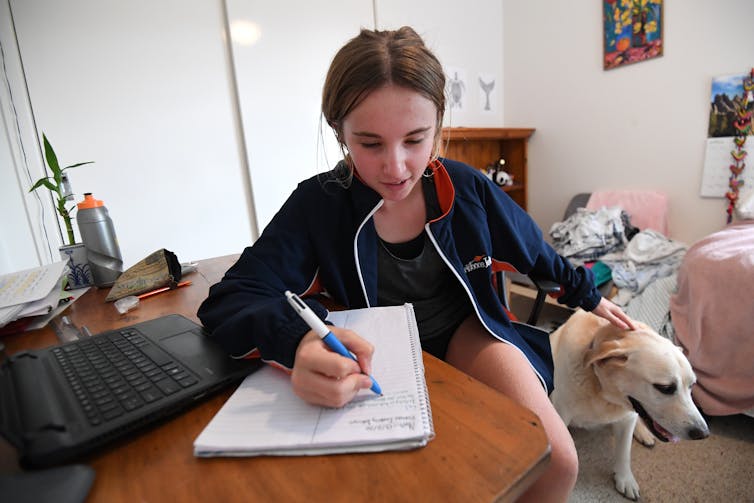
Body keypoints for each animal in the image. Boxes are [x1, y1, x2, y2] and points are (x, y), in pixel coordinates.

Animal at [548, 312, 704, 500]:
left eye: (692, 386)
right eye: (665, 388)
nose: (703, 433)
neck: (604, 393)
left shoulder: (627, 418)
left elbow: (624, 452)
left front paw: (625, 478)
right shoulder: (561, 411)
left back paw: (644, 433)